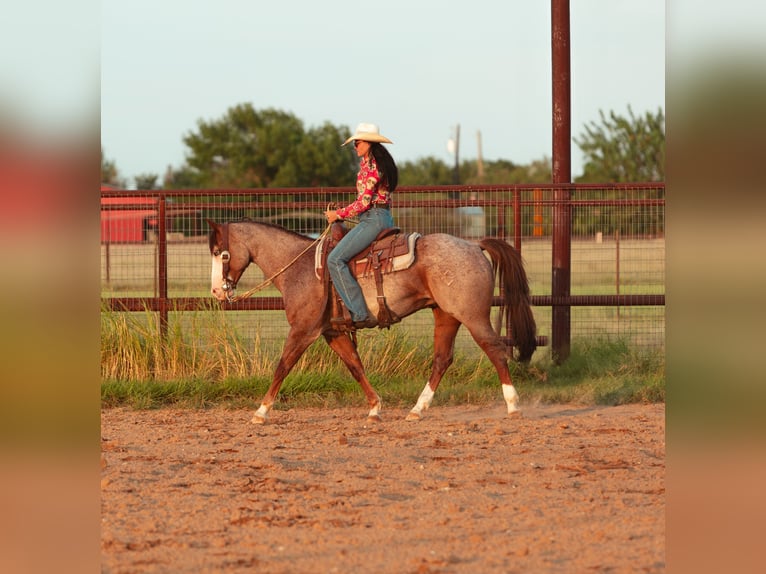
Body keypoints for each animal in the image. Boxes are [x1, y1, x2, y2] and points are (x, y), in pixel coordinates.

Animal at [207, 220, 536, 428]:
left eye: (221, 254)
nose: (216, 292)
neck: (300, 268)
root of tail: (474, 247)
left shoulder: (303, 330)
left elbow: (283, 366)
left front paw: (261, 412)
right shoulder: (333, 332)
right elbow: (355, 366)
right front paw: (375, 408)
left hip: (472, 316)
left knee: (495, 350)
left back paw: (513, 405)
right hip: (446, 316)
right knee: (442, 359)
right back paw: (417, 410)